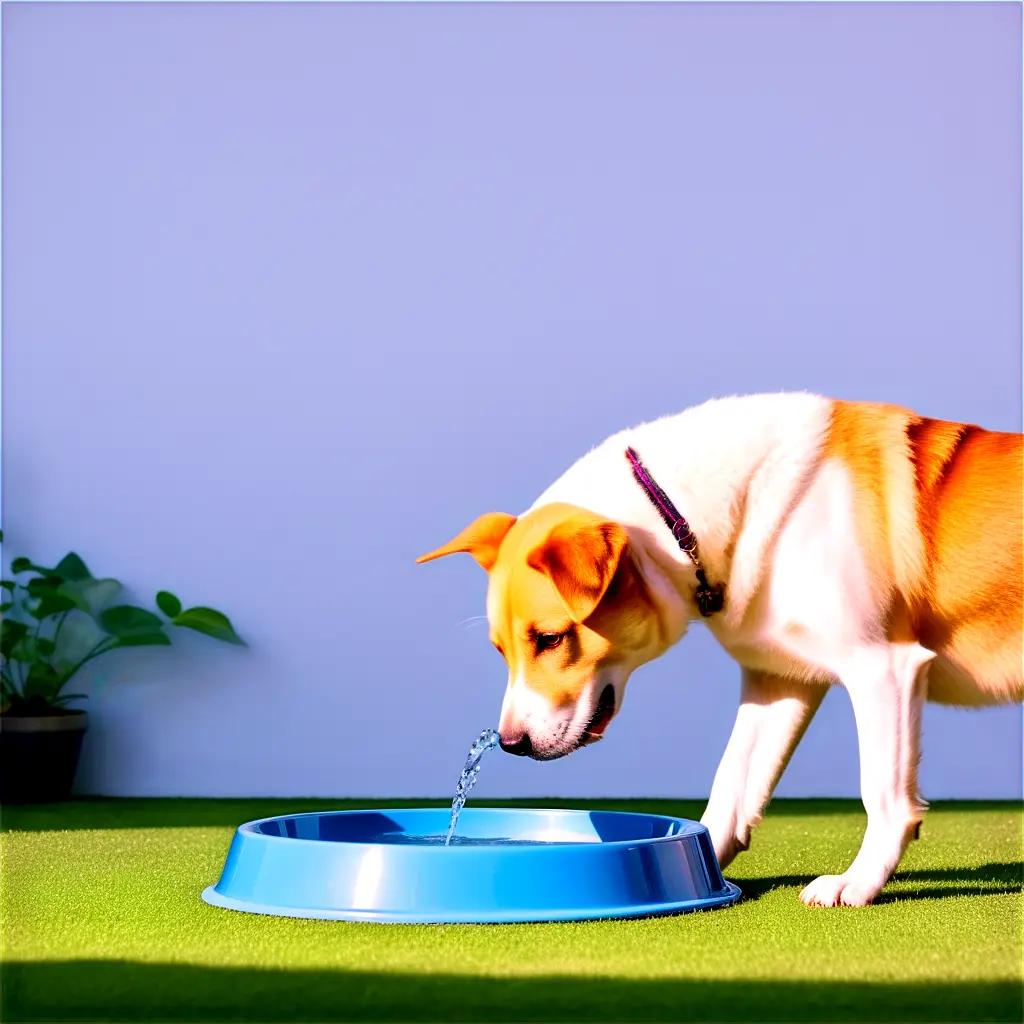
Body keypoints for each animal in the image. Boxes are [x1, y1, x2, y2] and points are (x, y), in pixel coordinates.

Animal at [417, 395, 1024, 909]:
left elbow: (882, 795)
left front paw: (857, 883)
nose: (511, 744)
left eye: (549, 639)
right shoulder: (779, 679)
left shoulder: (883, 668)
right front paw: (702, 867)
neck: (681, 519)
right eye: (500, 651)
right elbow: (731, 784)